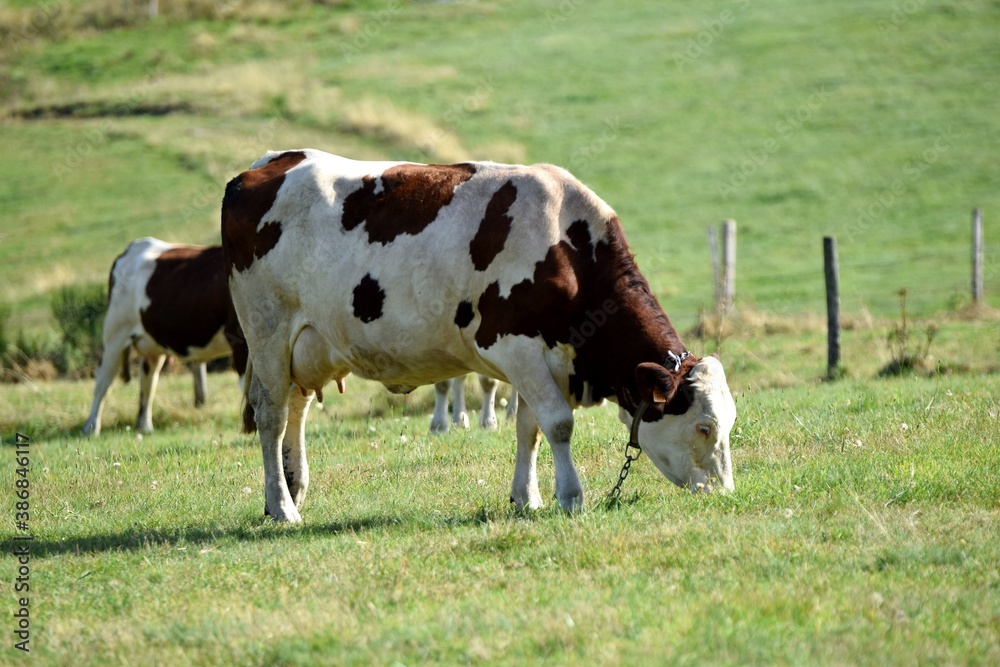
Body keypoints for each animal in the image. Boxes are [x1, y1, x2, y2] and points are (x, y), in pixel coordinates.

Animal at [82, 237, 246, 436]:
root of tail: (134, 246)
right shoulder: (241, 340)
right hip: (115, 333)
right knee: (104, 380)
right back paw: (91, 427)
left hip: (151, 344)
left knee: (148, 380)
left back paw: (144, 427)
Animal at [223, 150, 740, 520]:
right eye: (704, 426)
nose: (724, 493)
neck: (567, 248)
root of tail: (268, 163)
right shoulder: (514, 345)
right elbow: (558, 423)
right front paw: (571, 497)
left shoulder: (541, 359)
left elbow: (529, 429)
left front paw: (527, 498)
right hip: (266, 330)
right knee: (271, 416)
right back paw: (284, 508)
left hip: (306, 343)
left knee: (295, 409)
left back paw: (291, 491)